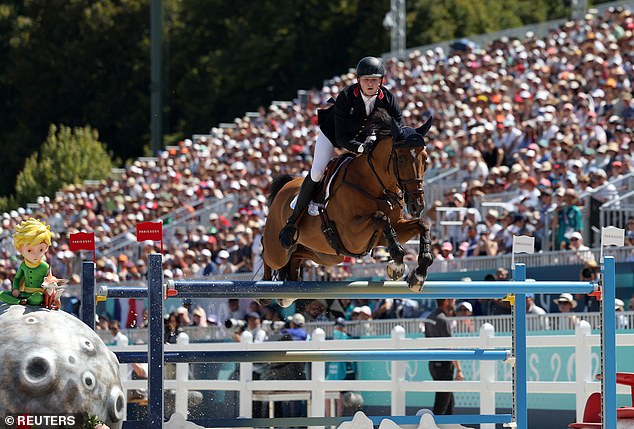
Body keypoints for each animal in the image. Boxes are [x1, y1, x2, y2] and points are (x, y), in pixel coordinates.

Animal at [260, 108, 432, 294]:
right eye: (401, 159)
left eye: (425, 159)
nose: (416, 206)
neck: (377, 187)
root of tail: (284, 188)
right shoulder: (352, 234)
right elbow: (381, 218)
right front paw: (397, 266)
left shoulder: (390, 230)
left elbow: (422, 224)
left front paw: (418, 274)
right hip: (278, 251)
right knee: (267, 253)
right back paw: (264, 287)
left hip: (325, 255)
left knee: (296, 257)